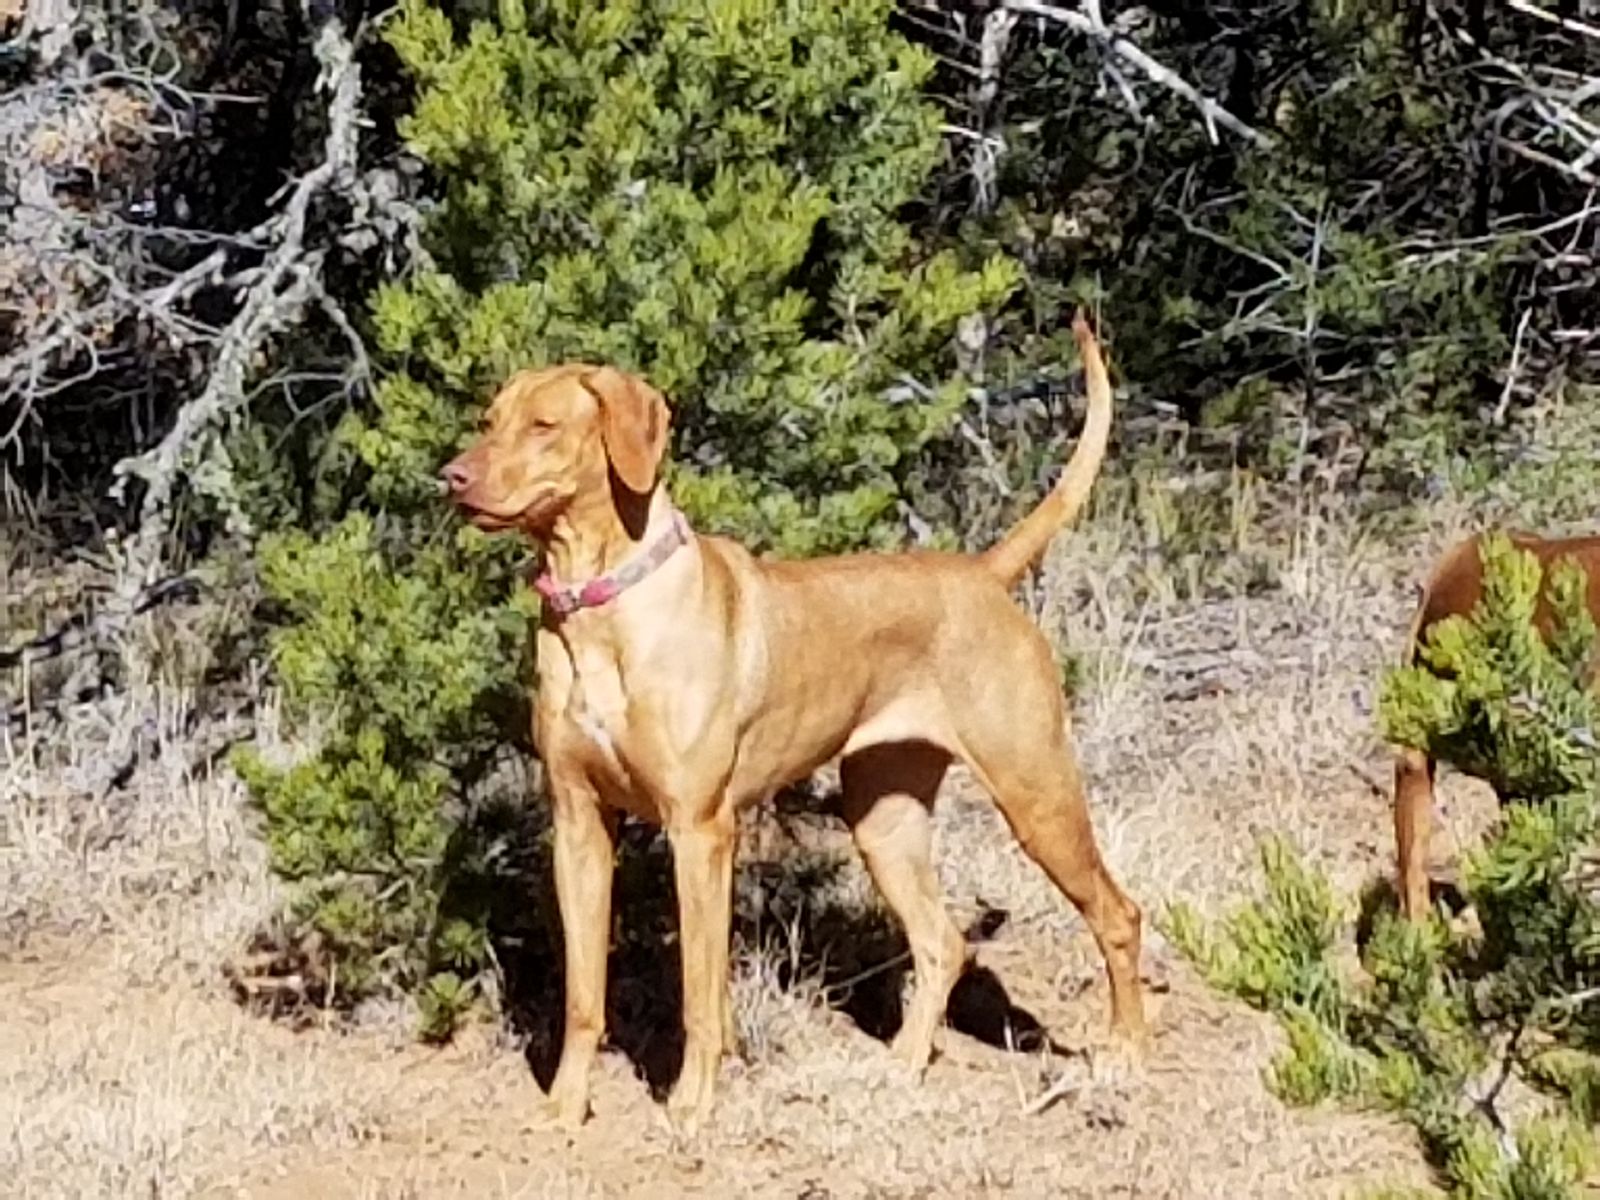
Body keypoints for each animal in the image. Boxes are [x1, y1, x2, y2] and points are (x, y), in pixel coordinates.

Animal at [440, 315, 1147, 1128]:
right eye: (488, 421)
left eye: (544, 426)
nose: (452, 477)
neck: (602, 607)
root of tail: (983, 573)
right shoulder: (578, 823)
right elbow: (585, 992)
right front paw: (565, 1106)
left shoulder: (699, 831)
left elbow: (699, 995)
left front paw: (691, 1106)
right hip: (884, 819)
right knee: (942, 941)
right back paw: (902, 1066)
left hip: (1036, 793)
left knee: (1118, 915)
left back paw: (1124, 1058)